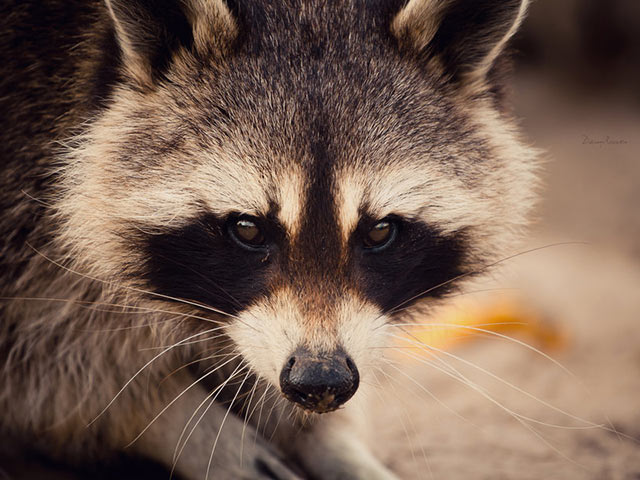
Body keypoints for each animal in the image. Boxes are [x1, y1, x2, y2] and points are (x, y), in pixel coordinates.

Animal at [0, 0, 536, 478]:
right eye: (247, 228)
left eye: (380, 231)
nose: (321, 381)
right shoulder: (26, 196)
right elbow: (50, 365)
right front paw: (175, 422)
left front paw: (323, 442)